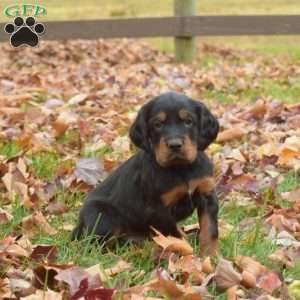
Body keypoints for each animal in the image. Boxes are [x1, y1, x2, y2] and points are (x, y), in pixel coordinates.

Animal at [71, 92, 219, 255]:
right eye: (157, 124)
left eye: (188, 121)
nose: (175, 145)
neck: (181, 168)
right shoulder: (159, 210)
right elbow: (175, 236)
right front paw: (188, 254)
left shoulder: (207, 195)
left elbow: (209, 230)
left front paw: (210, 256)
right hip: (101, 215)